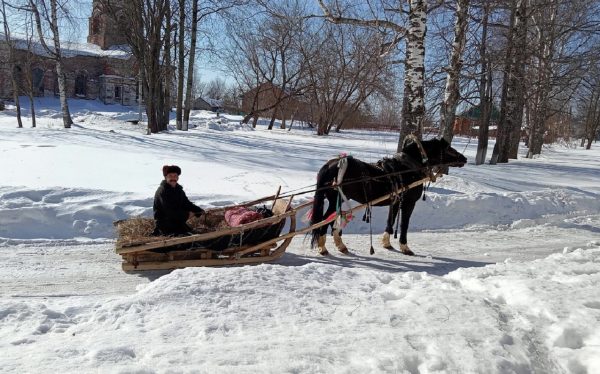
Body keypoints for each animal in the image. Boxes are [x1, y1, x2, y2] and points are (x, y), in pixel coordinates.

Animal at [310, 138, 468, 258]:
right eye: (448, 148)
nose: (464, 158)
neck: (408, 168)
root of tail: (330, 164)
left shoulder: (395, 201)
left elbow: (390, 221)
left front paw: (386, 243)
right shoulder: (408, 203)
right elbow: (404, 224)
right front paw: (405, 247)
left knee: (331, 220)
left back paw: (340, 246)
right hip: (335, 199)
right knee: (324, 221)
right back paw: (323, 248)